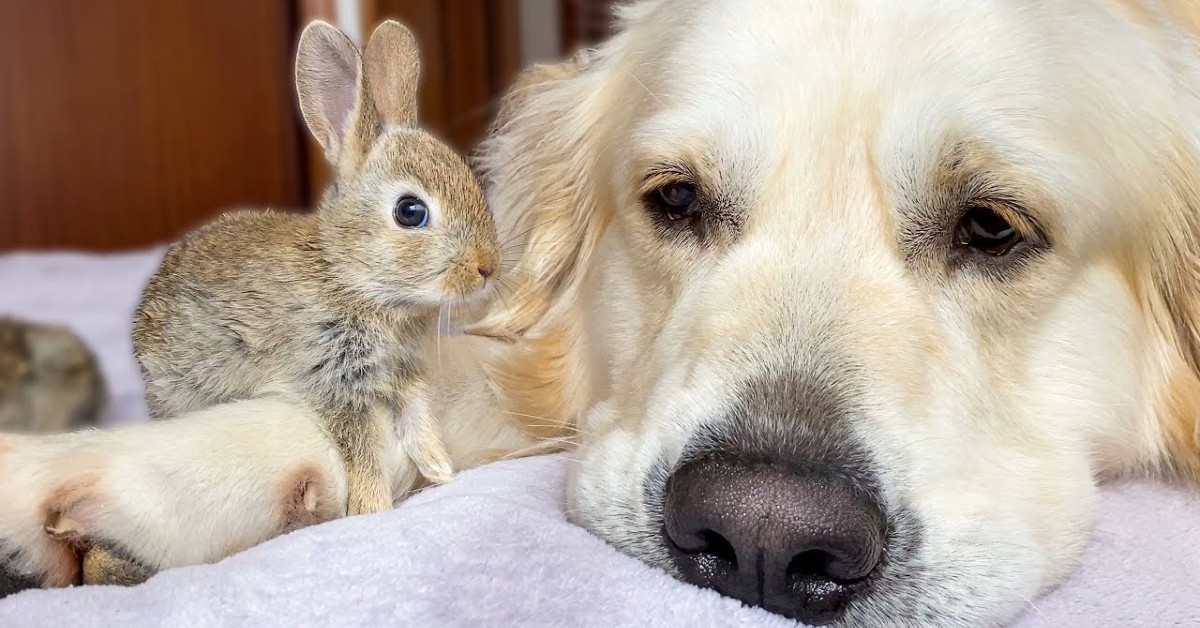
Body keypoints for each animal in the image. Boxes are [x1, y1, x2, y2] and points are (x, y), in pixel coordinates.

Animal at [132, 20, 501, 516]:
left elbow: (416, 417)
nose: (488, 267)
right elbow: (362, 448)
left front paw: (440, 470)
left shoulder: (402, 375)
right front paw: (374, 507)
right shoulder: (331, 378)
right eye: (410, 212)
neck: (350, 277)